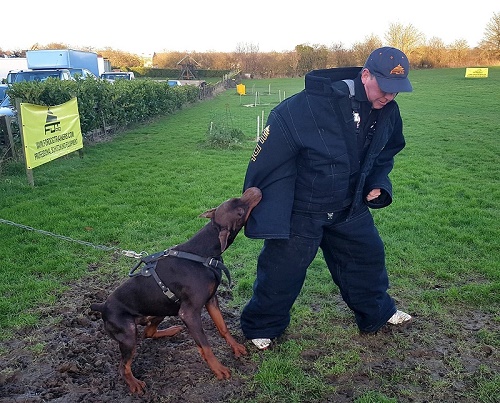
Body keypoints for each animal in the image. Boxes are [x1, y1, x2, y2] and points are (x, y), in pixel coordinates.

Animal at [91, 189, 262, 394]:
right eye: (239, 211)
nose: (255, 190)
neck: (202, 253)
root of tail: (102, 306)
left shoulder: (211, 300)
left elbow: (223, 327)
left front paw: (235, 347)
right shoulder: (189, 313)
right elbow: (205, 346)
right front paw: (218, 369)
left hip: (160, 310)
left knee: (148, 332)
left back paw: (171, 330)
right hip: (128, 333)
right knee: (123, 366)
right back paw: (134, 383)